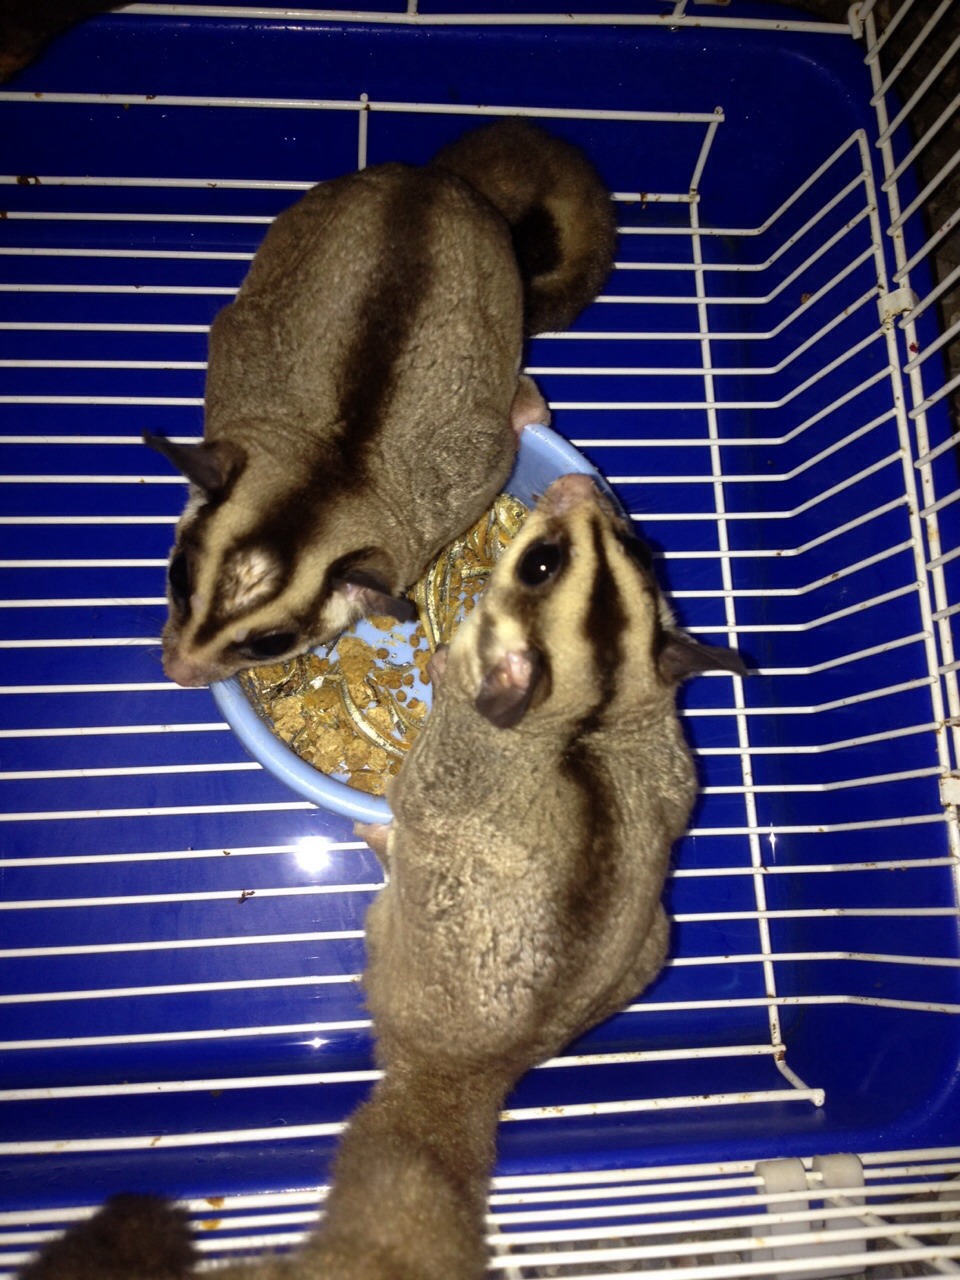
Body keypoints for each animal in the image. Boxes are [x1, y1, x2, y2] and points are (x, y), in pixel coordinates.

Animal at [147, 119, 617, 687]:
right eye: (177, 577)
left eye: (271, 643)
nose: (178, 669)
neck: (330, 463)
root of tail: (433, 179)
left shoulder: (464, 485)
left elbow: (496, 453)